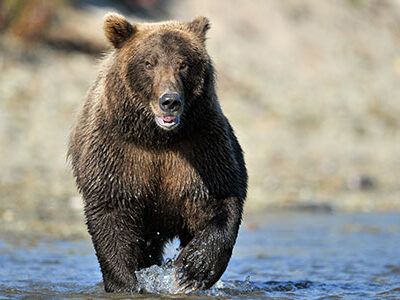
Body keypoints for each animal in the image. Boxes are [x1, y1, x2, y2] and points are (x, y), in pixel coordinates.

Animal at [68, 12, 247, 292]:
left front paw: (191, 269)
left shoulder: (201, 147)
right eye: (148, 63)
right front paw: (126, 283)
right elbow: (111, 215)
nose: (170, 100)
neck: (157, 138)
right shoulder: (118, 154)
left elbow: (218, 201)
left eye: (183, 64)